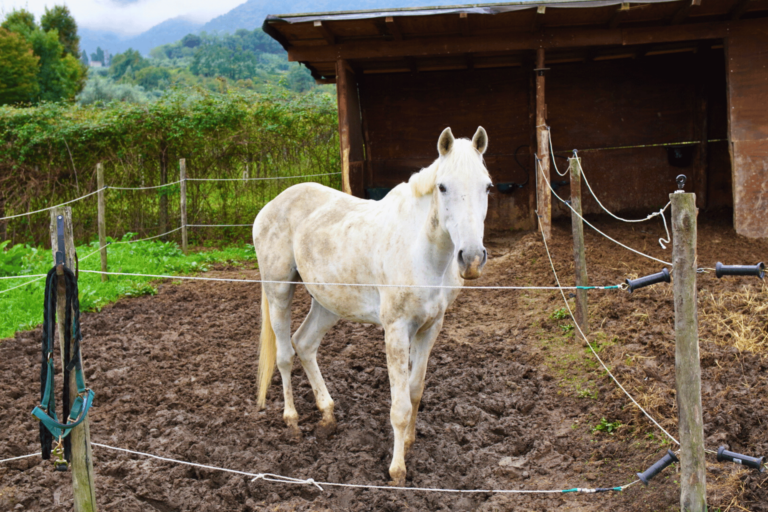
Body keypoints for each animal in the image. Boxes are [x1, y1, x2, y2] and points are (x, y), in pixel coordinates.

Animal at [255, 125, 488, 484]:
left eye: (487, 186)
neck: (421, 251)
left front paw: (410, 443)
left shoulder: (431, 327)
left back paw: (327, 414)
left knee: (304, 344)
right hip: (278, 291)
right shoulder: (396, 330)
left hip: (327, 303)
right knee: (284, 355)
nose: (472, 259)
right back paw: (292, 421)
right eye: (443, 186)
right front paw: (397, 470)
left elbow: (415, 390)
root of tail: (270, 207)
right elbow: (399, 406)